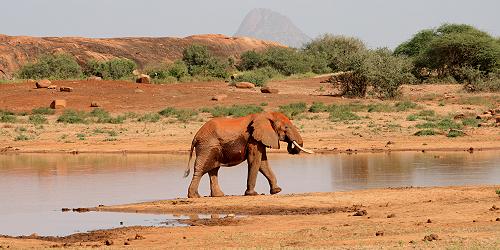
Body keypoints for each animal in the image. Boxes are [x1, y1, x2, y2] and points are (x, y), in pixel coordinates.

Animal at [184, 111, 312, 197]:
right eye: (286, 127)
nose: (291, 146)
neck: (266, 115)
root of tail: (195, 137)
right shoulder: (253, 139)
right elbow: (255, 160)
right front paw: (252, 194)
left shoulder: (259, 139)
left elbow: (263, 163)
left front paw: (277, 191)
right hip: (206, 146)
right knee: (201, 169)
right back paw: (194, 196)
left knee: (213, 170)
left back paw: (219, 195)